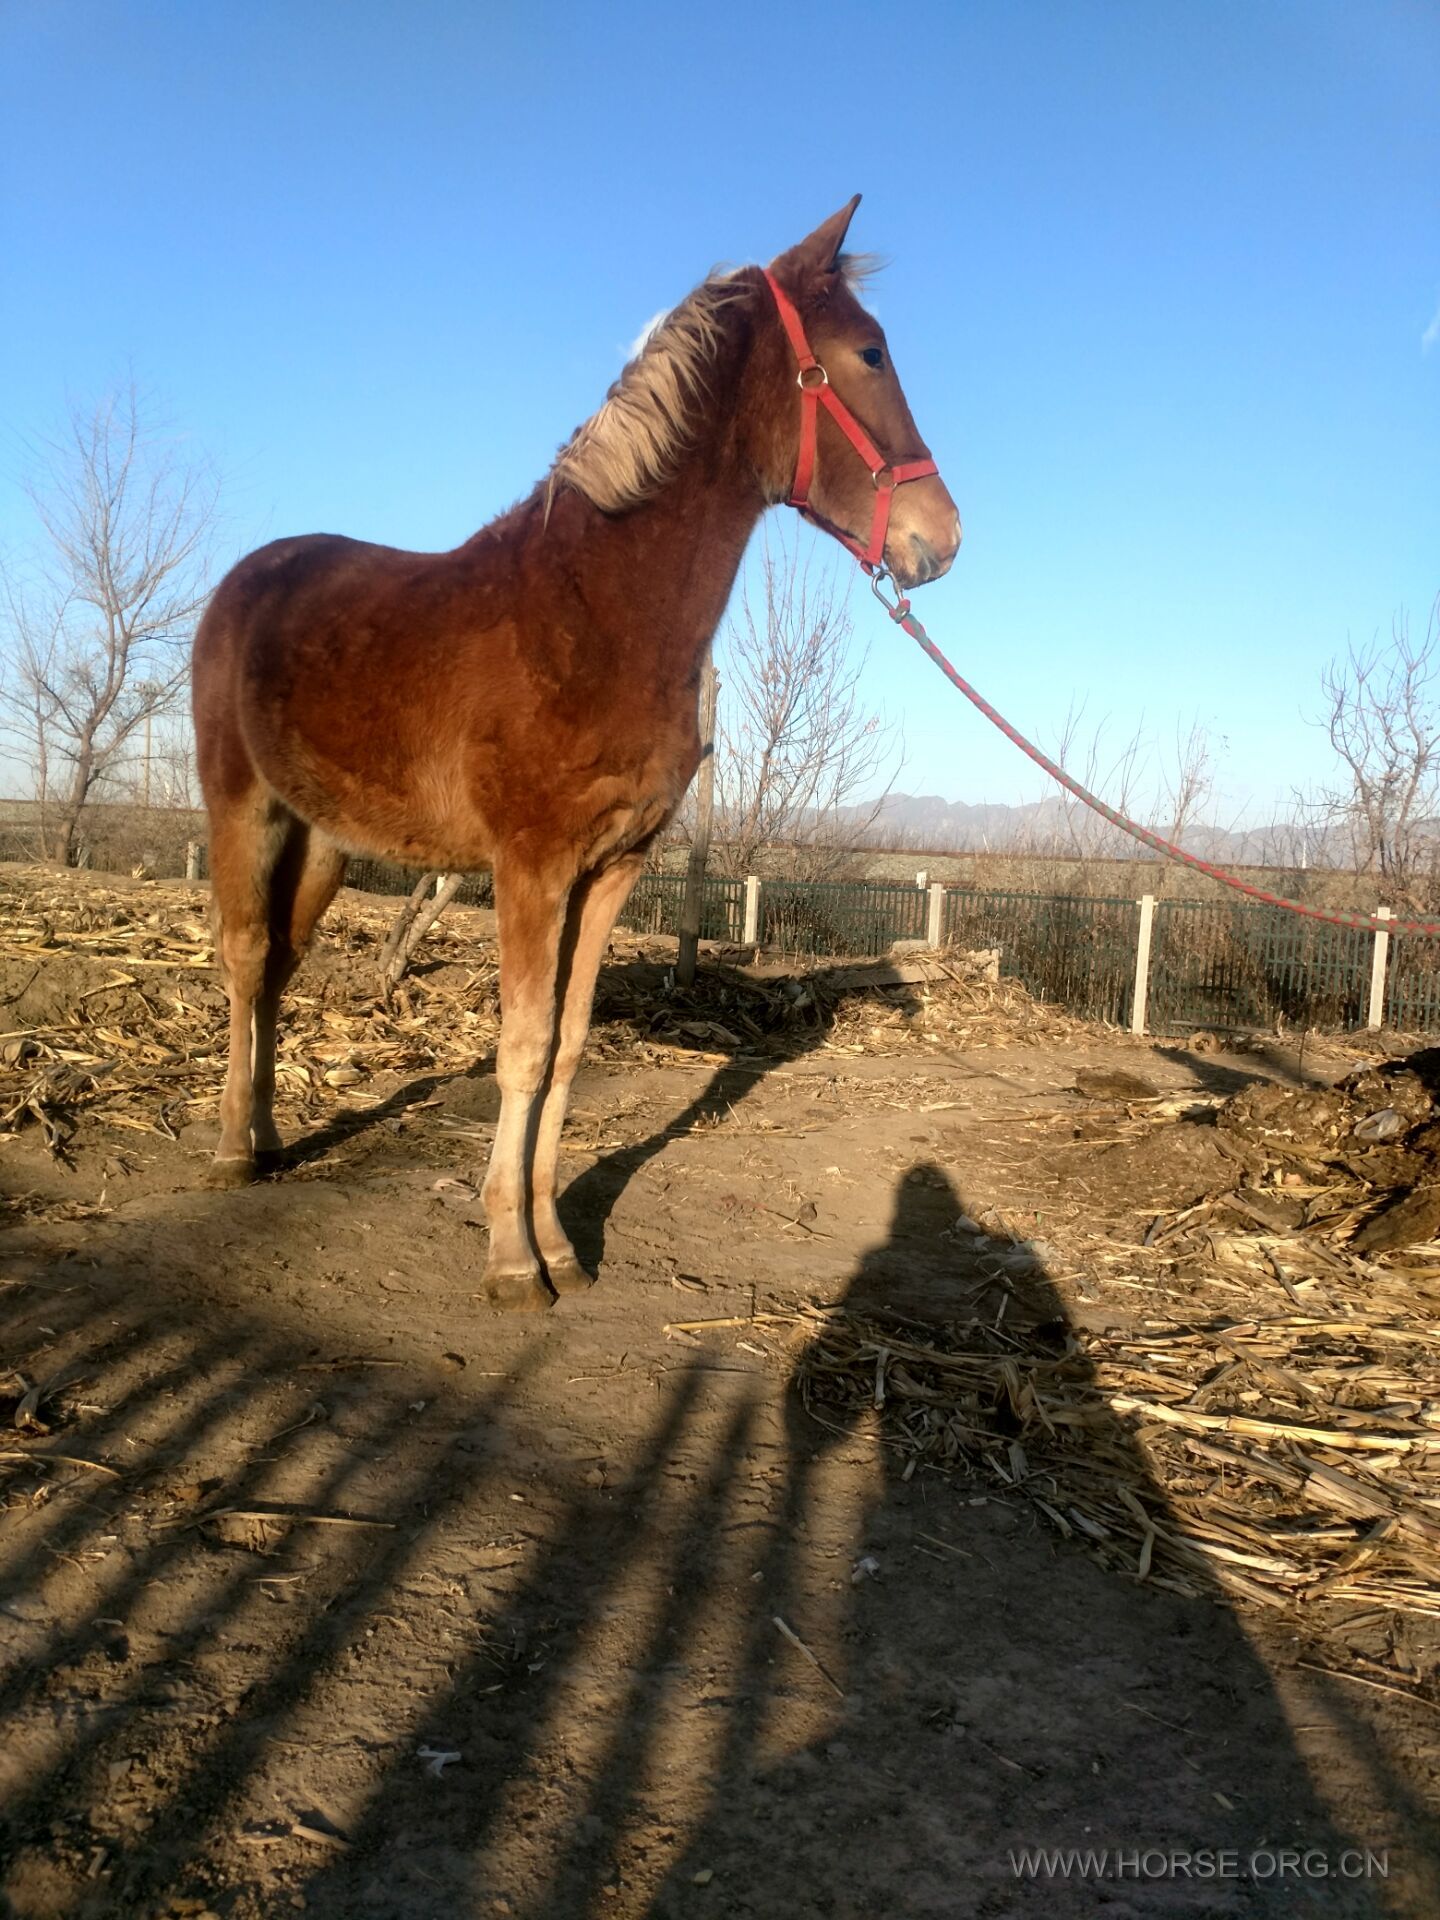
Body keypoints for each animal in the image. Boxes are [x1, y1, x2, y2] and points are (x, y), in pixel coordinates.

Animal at [192, 198, 960, 1305]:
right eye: (869, 352)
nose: (940, 540)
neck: (595, 613)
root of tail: (251, 576)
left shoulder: (611, 871)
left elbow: (564, 1049)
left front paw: (556, 1242)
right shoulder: (531, 867)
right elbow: (519, 1046)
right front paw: (512, 1260)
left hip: (325, 836)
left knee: (282, 969)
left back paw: (267, 1137)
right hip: (240, 806)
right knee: (246, 959)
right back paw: (228, 1152)